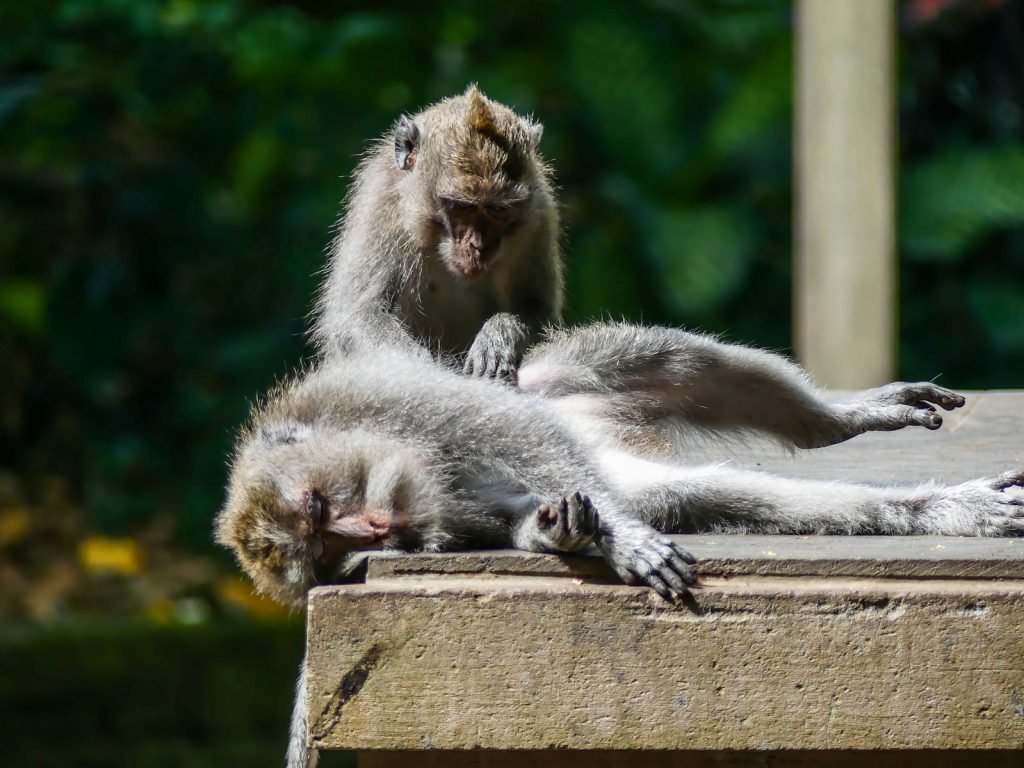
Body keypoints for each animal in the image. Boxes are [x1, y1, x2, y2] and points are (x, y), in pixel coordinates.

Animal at [216, 323, 1024, 768]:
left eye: (320, 508)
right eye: (325, 551)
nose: (372, 532)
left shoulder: (384, 403)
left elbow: (513, 433)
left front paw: (618, 539)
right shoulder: (437, 511)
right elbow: (513, 511)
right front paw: (566, 531)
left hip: (560, 379)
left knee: (668, 366)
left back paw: (842, 419)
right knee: (699, 493)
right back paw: (922, 512)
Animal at [312, 85, 561, 382]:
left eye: (498, 210)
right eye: (461, 206)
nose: (479, 245)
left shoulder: (539, 215)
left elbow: (539, 310)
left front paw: (497, 337)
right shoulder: (382, 202)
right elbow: (357, 315)